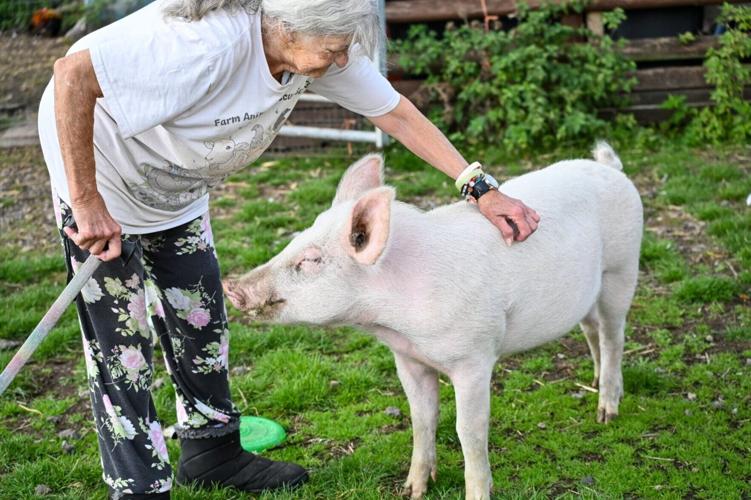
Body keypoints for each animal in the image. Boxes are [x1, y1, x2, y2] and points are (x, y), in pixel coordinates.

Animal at [223, 142, 643, 500]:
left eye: (310, 260)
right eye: (294, 240)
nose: (232, 286)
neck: (392, 323)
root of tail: (611, 168)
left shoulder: (474, 358)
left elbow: (468, 431)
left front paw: (476, 493)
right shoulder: (408, 359)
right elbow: (422, 419)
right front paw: (412, 490)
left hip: (622, 269)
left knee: (614, 335)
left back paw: (606, 412)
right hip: (587, 290)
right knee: (591, 328)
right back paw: (592, 381)